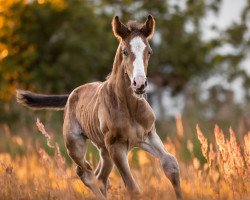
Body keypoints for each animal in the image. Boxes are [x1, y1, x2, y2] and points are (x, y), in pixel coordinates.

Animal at [16, 14, 183, 199]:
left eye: (149, 52)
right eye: (125, 52)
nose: (139, 84)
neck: (130, 108)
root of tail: (72, 94)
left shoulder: (148, 135)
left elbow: (171, 166)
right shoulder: (116, 146)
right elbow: (133, 189)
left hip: (104, 150)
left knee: (101, 178)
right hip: (76, 144)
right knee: (86, 173)